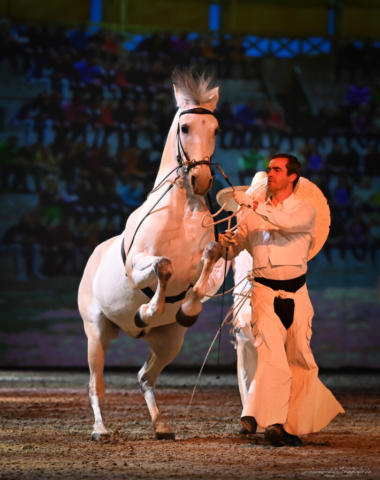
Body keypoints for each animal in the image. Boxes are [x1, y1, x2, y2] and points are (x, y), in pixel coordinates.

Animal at [79, 69, 224, 440]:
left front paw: (187, 308)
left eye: (215, 129)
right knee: (96, 385)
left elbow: (208, 261)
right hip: (96, 332)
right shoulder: (138, 266)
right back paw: (101, 430)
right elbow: (164, 266)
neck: (180, 210)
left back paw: (162, 425)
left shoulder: (207, 263)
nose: (201, 180)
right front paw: (146, 310)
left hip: (169, 341)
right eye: (185, 127)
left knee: (145, 378)